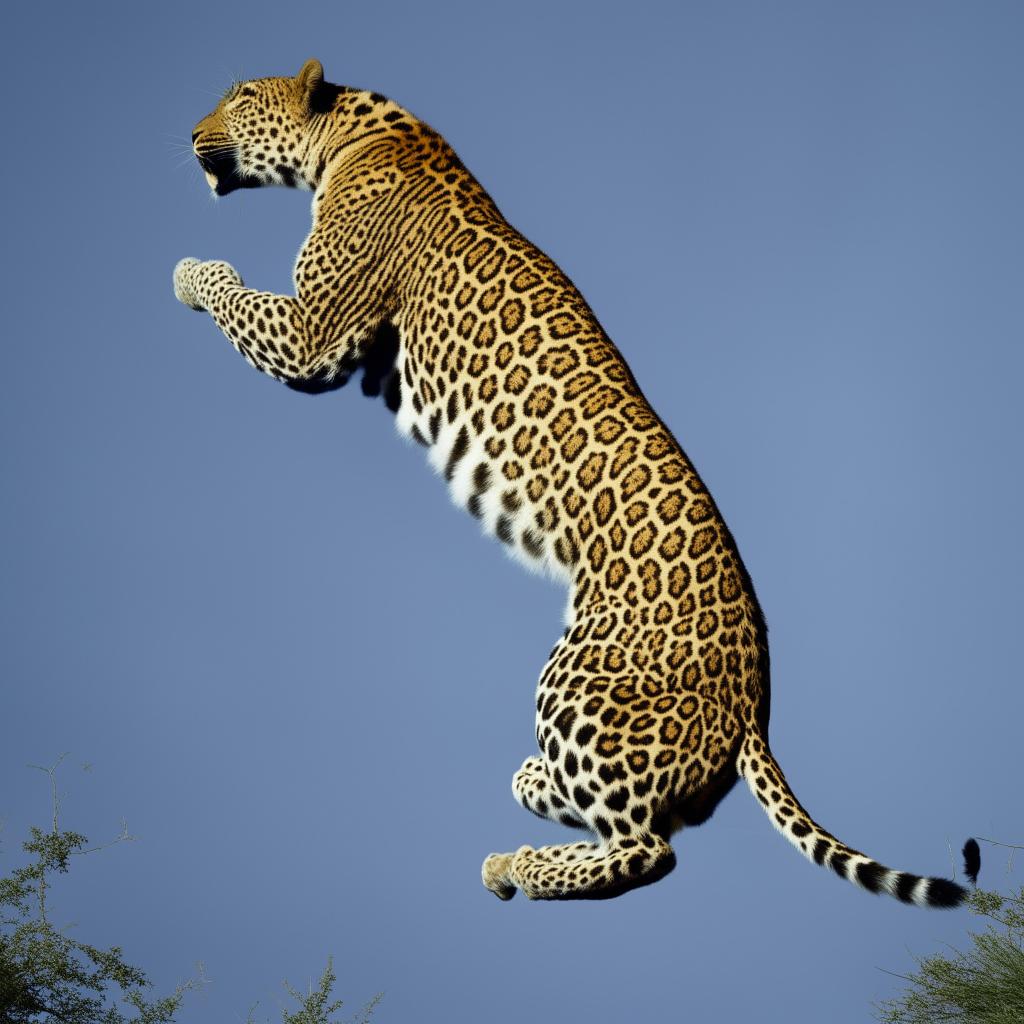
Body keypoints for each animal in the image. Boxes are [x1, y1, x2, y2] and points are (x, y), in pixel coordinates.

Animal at [174, 58, 974, 905]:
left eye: (241, 99)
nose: (190, 134)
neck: (345, 136)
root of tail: (756, 705)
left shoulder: (313, 335)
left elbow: (238, 299)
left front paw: (191, 274)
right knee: (645, 821)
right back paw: (532, 799)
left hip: (581, 683)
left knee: (647, 849)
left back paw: (519, 862)